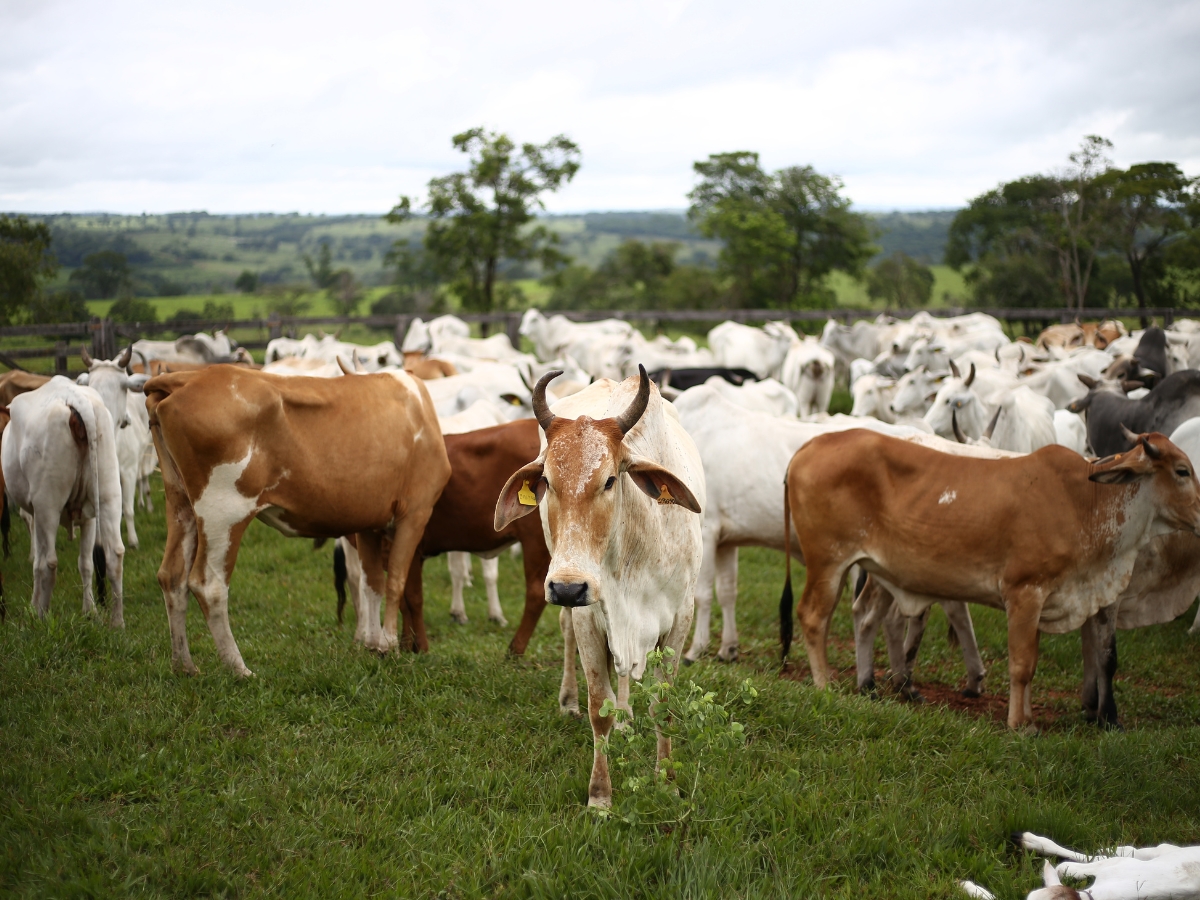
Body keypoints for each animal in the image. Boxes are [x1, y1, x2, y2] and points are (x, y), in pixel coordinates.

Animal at [1, 377, 125, 626]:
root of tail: (74, 398)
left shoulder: (36, 513)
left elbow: (37, 562)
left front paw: (34, 607)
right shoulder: (88, 518)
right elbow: (86, 563)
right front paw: (90, 611)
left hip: (47, 505)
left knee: (49, 562)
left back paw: (42, 618)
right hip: (108, 495)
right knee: (114, 555)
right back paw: (117, 623)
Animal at [144, 365, 450, 674]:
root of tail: (190, 376)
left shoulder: (369, 522)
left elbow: (372, 583)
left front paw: (374, 645)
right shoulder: (416, 512)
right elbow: (396, 581)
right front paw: (389, 645)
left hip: (180, 502)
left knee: (172, 577)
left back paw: (184, 666)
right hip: (223, 511)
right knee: (209, 585)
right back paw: (240, 669)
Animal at [495, 367, 705, 808]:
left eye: (609, 480)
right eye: (547, 481)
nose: (567, 588)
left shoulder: (681, 616)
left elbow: (663, 704)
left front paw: (667, 780)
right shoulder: (589, 616)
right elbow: (599, 708)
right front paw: (600, 797)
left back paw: (626, 719)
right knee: (568, 638)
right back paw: (569, 701)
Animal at [781, 428, 1200, 730]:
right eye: (1183, 471)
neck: (1086, 503)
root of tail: (810, 446)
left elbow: (1040, 662)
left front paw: (1031, 718)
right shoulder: (1024, 592)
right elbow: (1022, 664)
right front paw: (1019, 725)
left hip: (864, 568)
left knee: (859, 617)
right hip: (828, 562)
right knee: (813, 617)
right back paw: (824, 686)